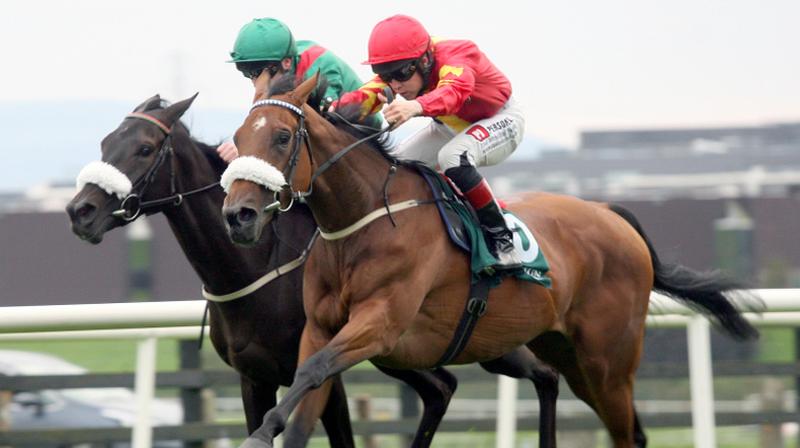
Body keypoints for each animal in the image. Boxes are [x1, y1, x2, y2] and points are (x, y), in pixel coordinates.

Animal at [64, 94, 556, 448]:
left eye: (144, 149)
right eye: (105, 143)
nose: (79, 211)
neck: (257, 267)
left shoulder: (328, 371)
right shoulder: (254, 377)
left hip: (485, 338)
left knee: (542, 375)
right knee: (443, 387)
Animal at [222, 72, 760, 446]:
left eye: (282, 138)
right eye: (239, 137)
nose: (238, 216)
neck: (363, 223)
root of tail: (610, 213)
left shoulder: (380, 324)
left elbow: (313, 372)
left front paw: (260, 431)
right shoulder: (320, 327)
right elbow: (306, 393)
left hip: (610, 361)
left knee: (625, 433)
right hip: (567, 352)